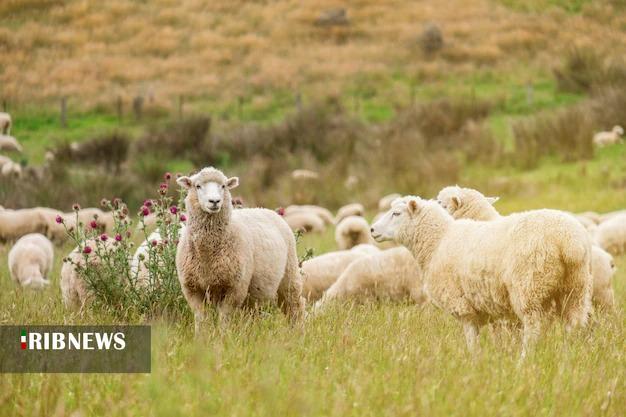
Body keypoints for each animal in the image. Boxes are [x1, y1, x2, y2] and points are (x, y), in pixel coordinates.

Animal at [174, 166, 304, 332]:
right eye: (197, 186)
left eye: (223, 186)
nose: (214, 201)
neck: (207, 255)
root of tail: (264, 209)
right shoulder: (192, 288)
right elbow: (201, 319)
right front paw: (201, 337)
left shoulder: (235, 288)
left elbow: (225, 318)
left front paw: (223, 337)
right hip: (255, 293)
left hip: (289, 275)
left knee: (295, 306)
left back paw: (298, 332)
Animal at [370, 197, 588, 356]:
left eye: (396, 213)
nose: (372, 230)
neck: (438, 241)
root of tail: (568, 240)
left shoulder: (462, 305)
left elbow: (471, 339)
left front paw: (474, 362)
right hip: (575, 288)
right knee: (573, 327)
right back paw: (568, 360)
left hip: (529, 286)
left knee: (533, 329)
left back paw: (524, 361)